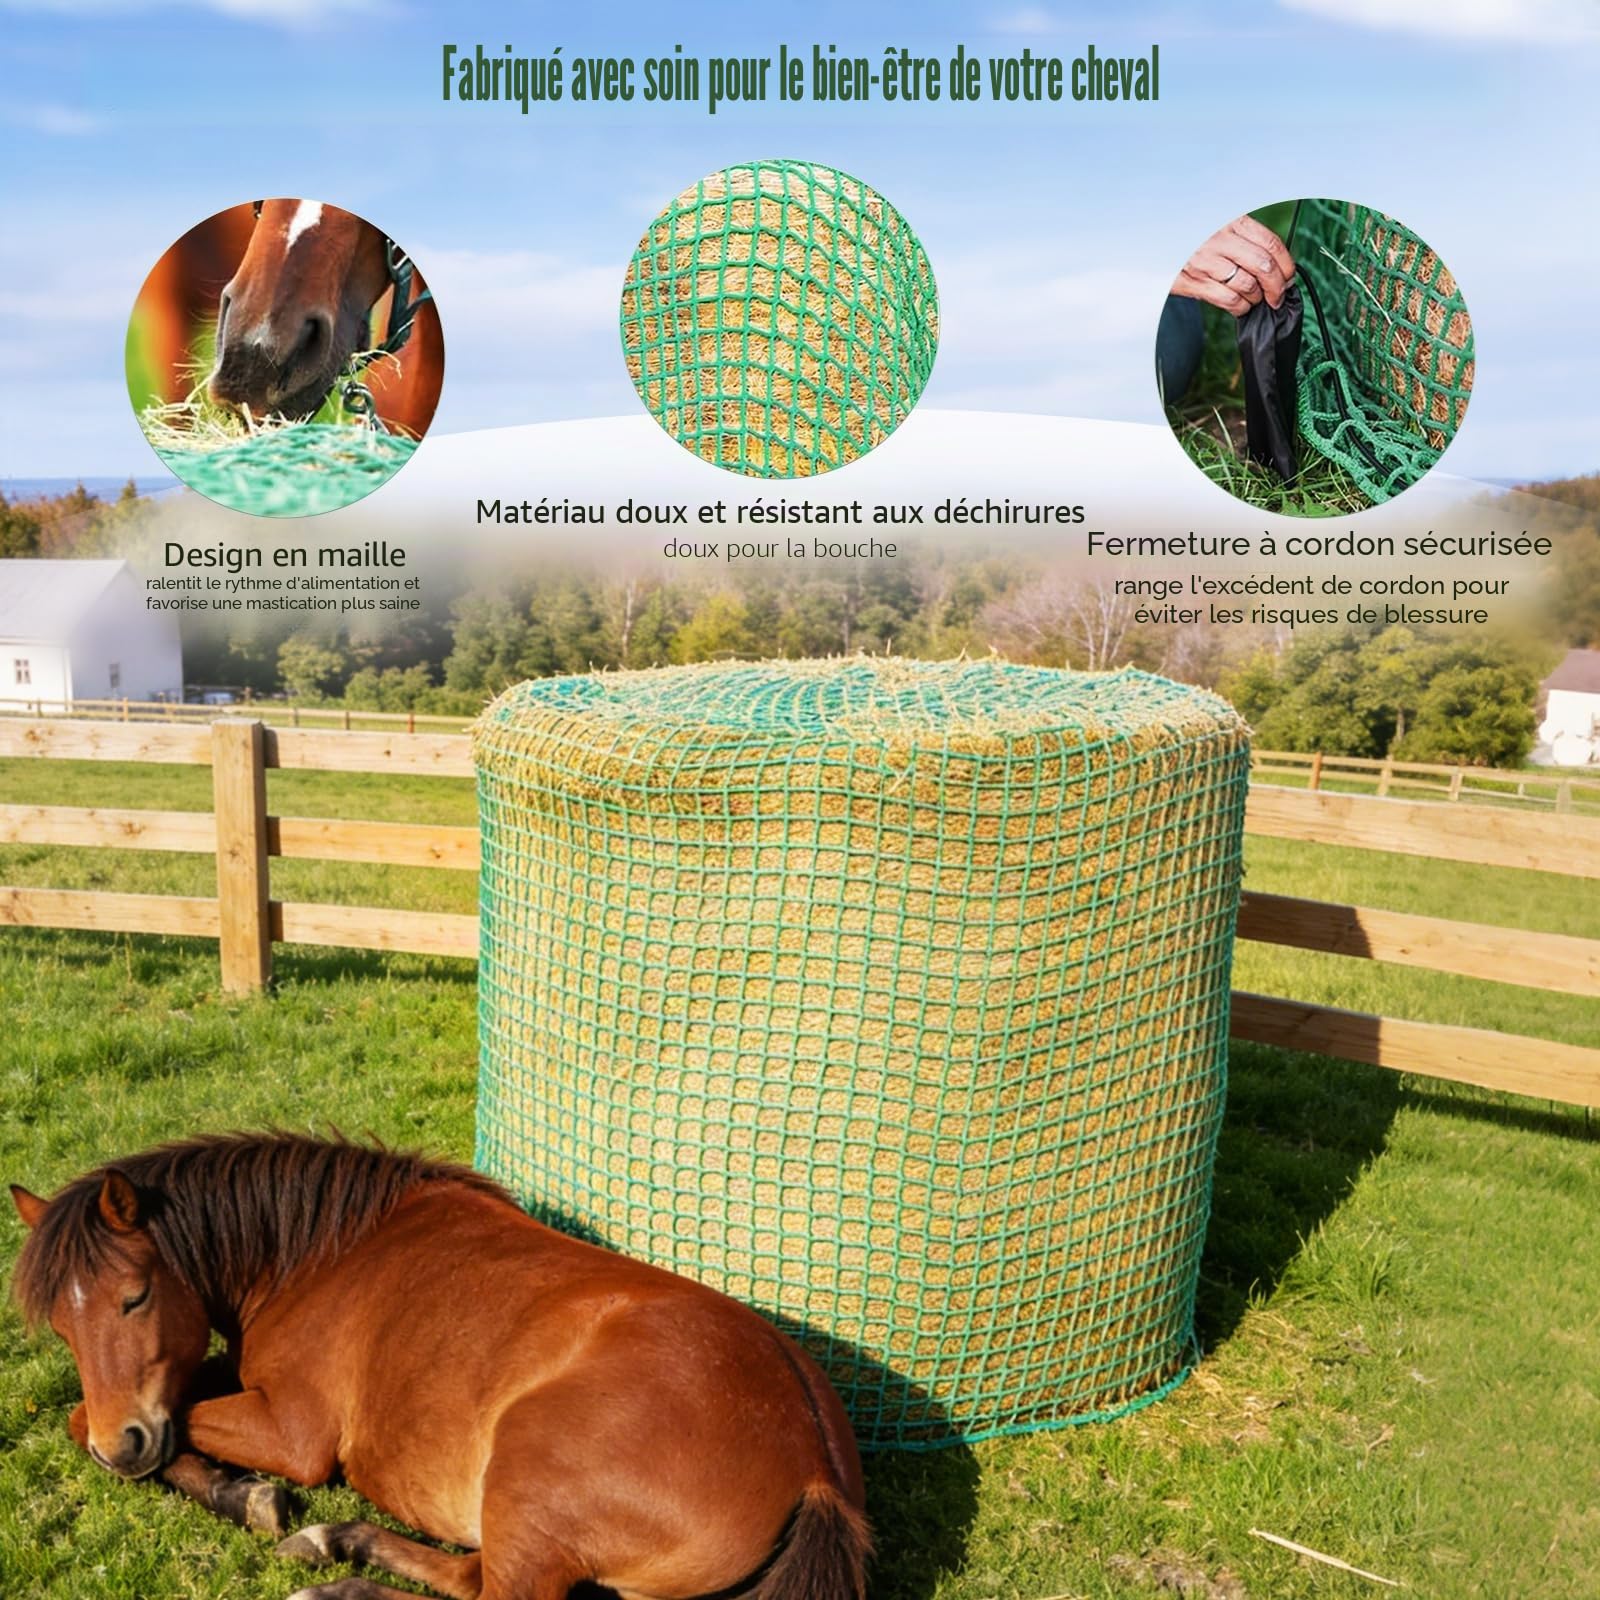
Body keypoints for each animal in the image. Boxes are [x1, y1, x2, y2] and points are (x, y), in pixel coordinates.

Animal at [11, 1133, 869, 1600]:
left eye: (135, 1296)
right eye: (61, 1325)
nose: (121, 1452)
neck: (318, 1253)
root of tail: (810, 1460)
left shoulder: (292, 1435)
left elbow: (127, 1418)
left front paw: (245, 1495)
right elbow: (105, 1413)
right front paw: (246, 1497)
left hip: (528, 1483)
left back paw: (331, 1578)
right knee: (464, 1576)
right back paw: (337, 1540)